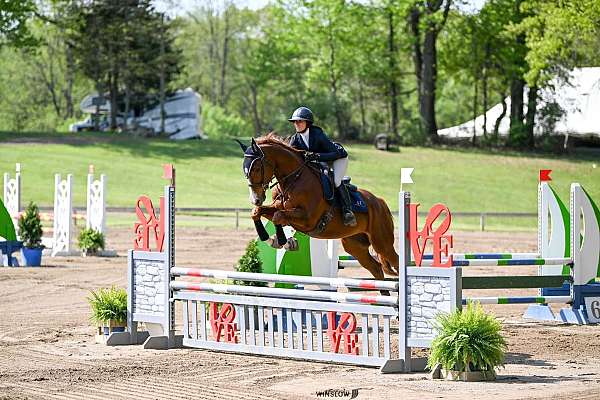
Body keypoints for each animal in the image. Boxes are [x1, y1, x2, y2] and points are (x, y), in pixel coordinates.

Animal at [238, 133, 398, 280]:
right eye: (244, 170)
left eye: (256, 168)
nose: (256, 199)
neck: (294, 179)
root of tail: (380, 202)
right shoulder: (279, 209)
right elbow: (258, 212)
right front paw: (273, 240)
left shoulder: (308, 219)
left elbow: (278, 216)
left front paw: (282, 241)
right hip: (355, 245)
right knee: (376, 268)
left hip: (381, 242)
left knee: (395, 261)